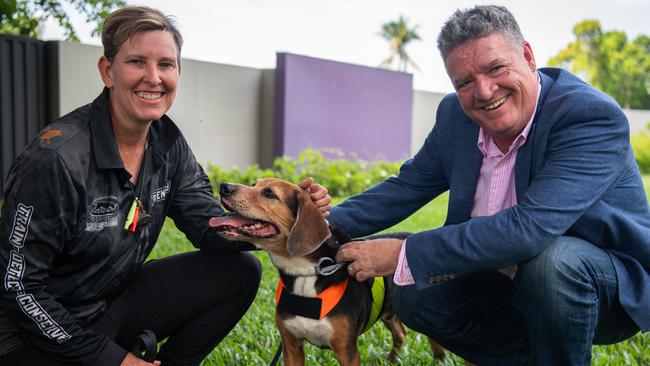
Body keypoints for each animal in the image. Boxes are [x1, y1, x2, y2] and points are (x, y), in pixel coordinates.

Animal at [208, 179, 446, 364]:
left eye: (269, 193)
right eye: (253, 184)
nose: (224, 187)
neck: (305, 273)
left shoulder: (347, 351)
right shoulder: (292, 346)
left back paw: (439, 359)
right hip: (387, 312)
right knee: (401, 333)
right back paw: (392, 361)